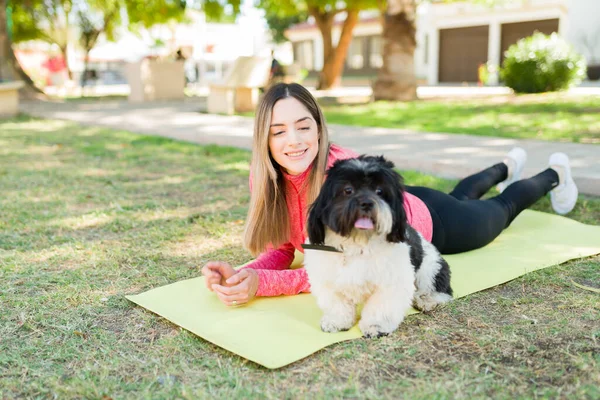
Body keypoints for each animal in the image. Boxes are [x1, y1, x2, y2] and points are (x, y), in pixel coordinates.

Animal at [302, 155, 452, 338]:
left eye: (379, 191)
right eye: (348, 190)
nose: (366, 202)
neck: (358, 244)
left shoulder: (393, 280)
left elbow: (381, 306)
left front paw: (375, 325)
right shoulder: (327, 279)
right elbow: (337, 303)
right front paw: (336, 321)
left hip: (431, 268)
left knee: (440, 290)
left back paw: (426, 300)